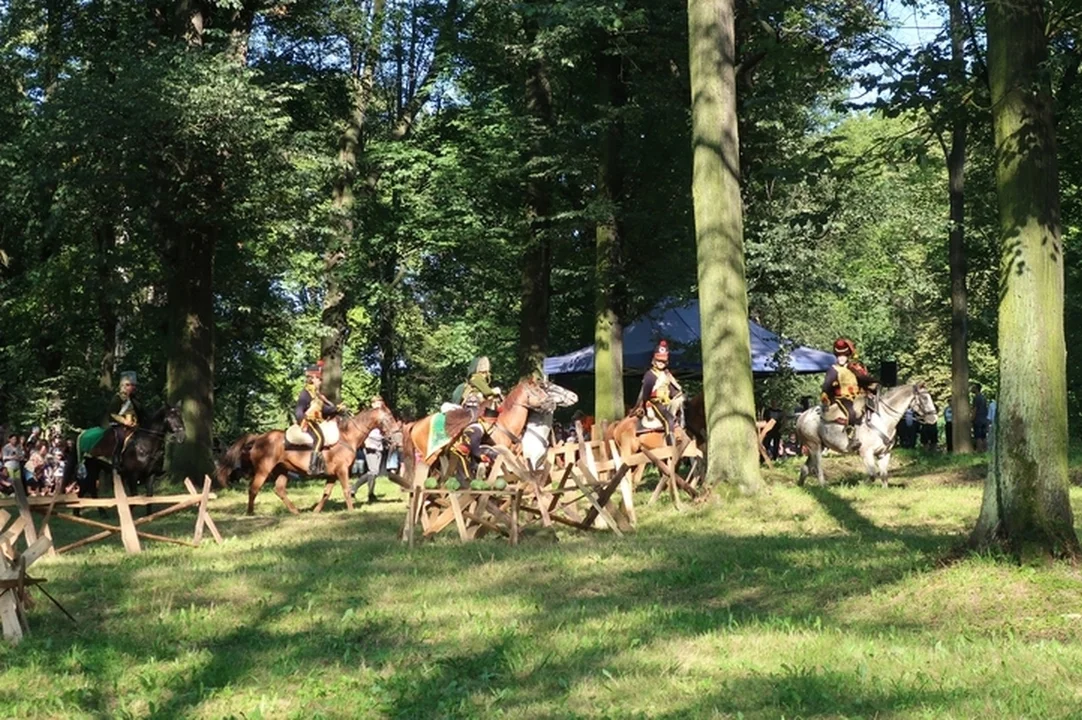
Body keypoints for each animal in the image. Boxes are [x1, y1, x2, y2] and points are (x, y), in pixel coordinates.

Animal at [214, 404, 398, 517]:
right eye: (389, 417)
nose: (395, 435)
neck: (347, 437)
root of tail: (259, 437)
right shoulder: (342, 471)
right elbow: (346, 490)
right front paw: (352, 511)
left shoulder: (333, 474)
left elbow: (326, 493)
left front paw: (316, 511)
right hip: (263, 470)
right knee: (253, 489)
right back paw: (250, 512)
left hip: (282, 470)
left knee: (279, 489)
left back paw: (295, 511)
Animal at [796, 381, 939, 489]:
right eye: (925, 398)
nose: (934, 418)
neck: (882, 419)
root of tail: (803, 416)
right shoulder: (866, 453)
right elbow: (872, 475)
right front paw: (859, 486)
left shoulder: (884, 453)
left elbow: (883, 475)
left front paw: (884, 490)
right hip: (815, 446)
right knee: (817, 468)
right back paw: (823, 486)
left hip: (818, 447)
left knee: (805, 468)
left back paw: (801, 485)